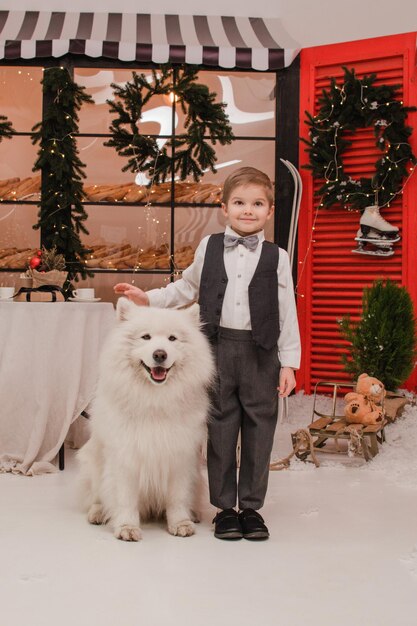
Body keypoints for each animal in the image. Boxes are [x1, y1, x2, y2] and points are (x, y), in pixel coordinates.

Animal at [77, 296, 214, 536]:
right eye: (146, 337)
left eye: (172, 338)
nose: (160, 354)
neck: (154, 400)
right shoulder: (126, 454)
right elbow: (125, 499)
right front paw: (127, 527)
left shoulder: (180, 456)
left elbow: (177, 498)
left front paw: (180, 523)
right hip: (93, 464)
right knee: (96, 496)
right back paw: (99, 513)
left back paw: (194, 514)